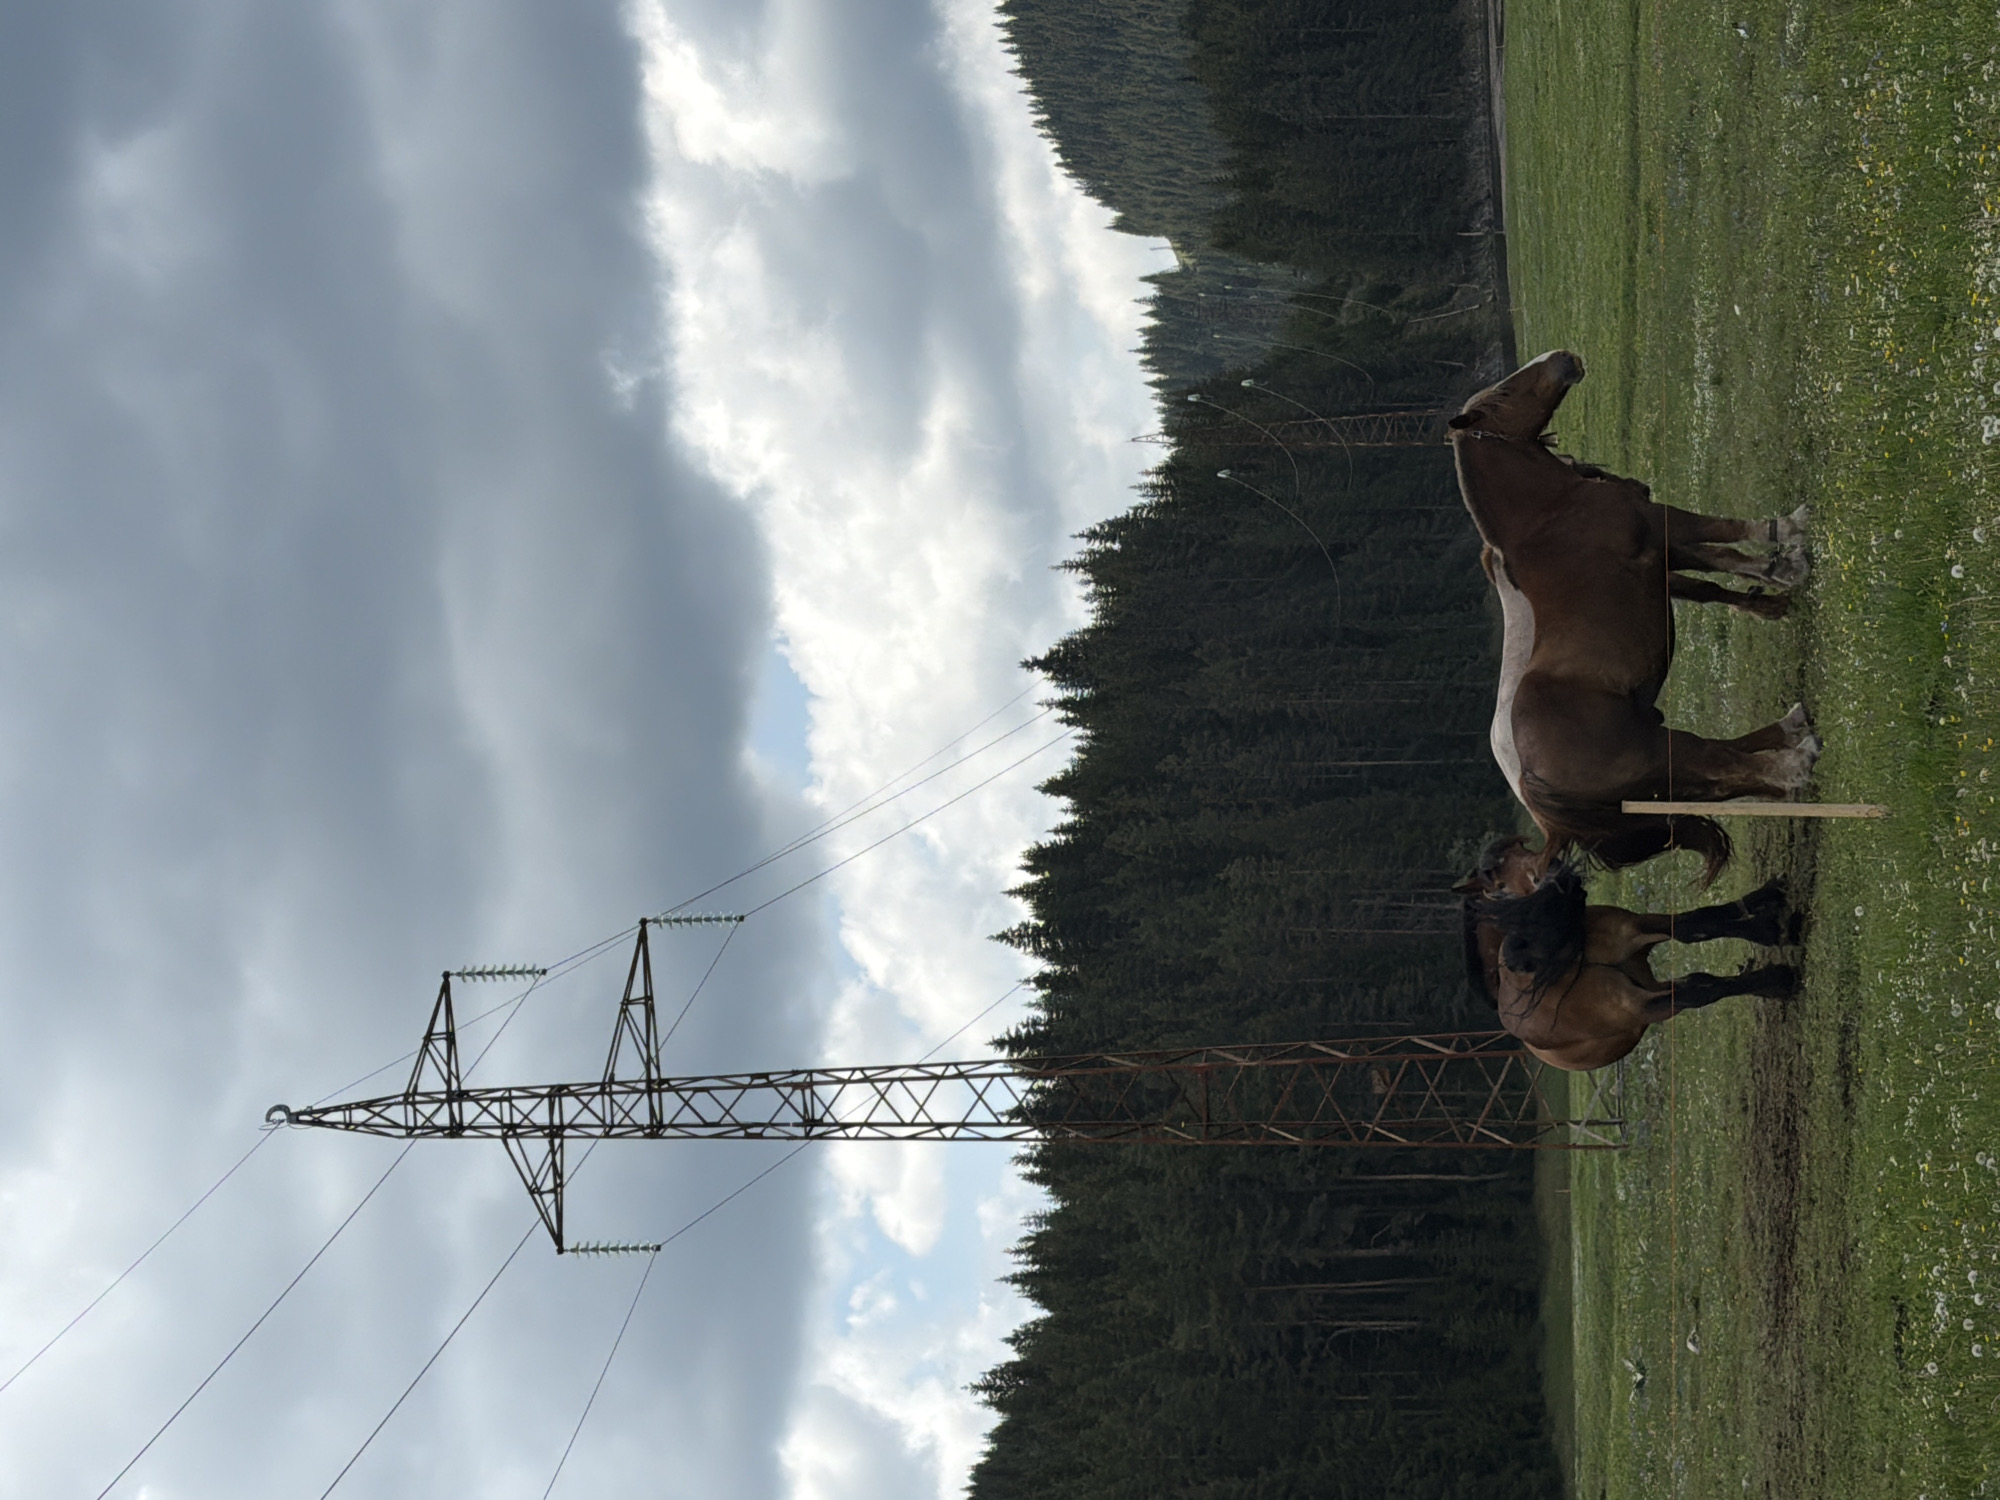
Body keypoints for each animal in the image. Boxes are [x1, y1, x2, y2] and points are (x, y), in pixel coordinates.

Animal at [1450, 350, 1822, 883]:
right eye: (1504, 392)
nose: (1563, 358)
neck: (1550, 516)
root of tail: (1532, 784)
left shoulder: (1664, 557)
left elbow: (1719, 568)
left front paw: (1777, 577)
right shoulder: (1664, 529)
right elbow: (1724, 536)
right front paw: (1788, 537)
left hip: (1654, 779)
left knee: (1722, 778)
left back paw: (1791, 734)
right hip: (1659, 752)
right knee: (1723, 765)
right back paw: (1796, 759)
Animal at [1456, 835, 1798, 1071]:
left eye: (1523, 849)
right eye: (1498, 885)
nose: (1554, 870)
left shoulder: (1633, 929)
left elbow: (1695, 924)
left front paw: (1769, 914)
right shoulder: (1636, 1005)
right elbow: (1699, 989)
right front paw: (1777, 978)